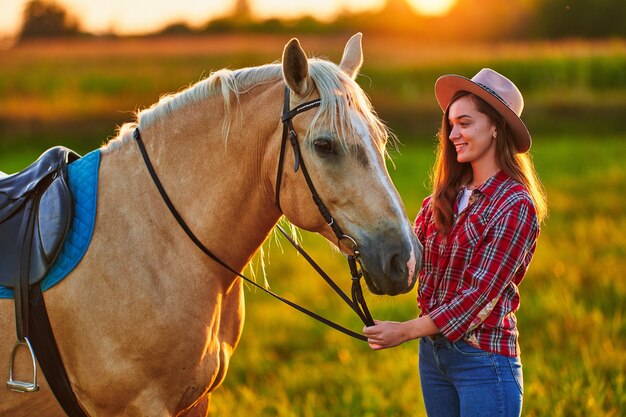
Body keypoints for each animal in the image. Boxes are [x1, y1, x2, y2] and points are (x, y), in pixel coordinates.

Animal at [1, 35, 420, 416]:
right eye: (324, 145)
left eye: (380, 139)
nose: (407, 259)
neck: (158, 240)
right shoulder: (139, 407)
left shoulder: (197, 400)